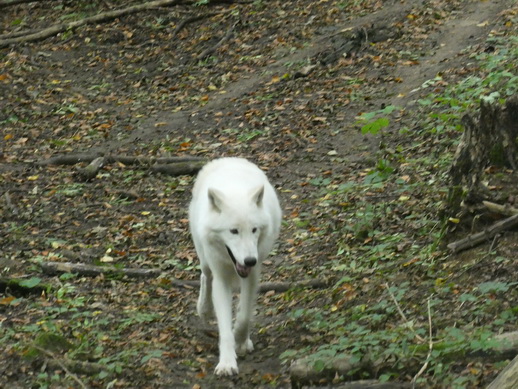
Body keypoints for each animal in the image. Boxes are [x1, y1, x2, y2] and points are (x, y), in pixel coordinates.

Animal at [189, 158, 282, 376]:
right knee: (205, 276)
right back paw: (204, 309)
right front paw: (226, 363)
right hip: (204, 257)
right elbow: (224, 327)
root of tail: (228, 159)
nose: (249, 260)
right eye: (233, 231)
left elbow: (244, 315)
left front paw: (241, 341)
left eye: (254, 229)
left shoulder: (252, 275)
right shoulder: (221, 278)